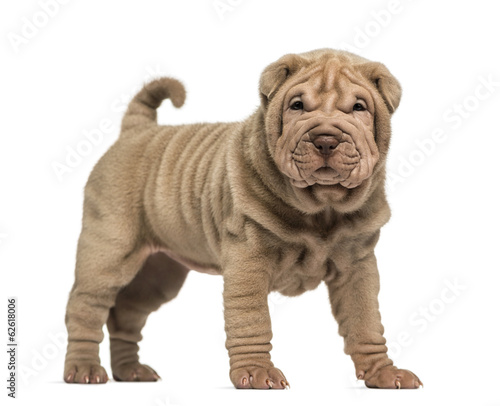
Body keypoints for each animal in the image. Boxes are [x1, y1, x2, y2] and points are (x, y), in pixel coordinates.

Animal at [62, 49, 422, 388]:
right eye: (297, 106)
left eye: (359, 108)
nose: (326, 139)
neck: (322, 208)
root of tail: (136, 130)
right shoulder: (248, 259)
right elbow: (251, 318)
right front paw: (256, 372)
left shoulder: (356, 266)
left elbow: (366, 321)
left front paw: (383, 373)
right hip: (109, 252)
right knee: (86, 309)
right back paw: (84, 369)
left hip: (159, 273)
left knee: (127, 313)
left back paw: (131, 371)